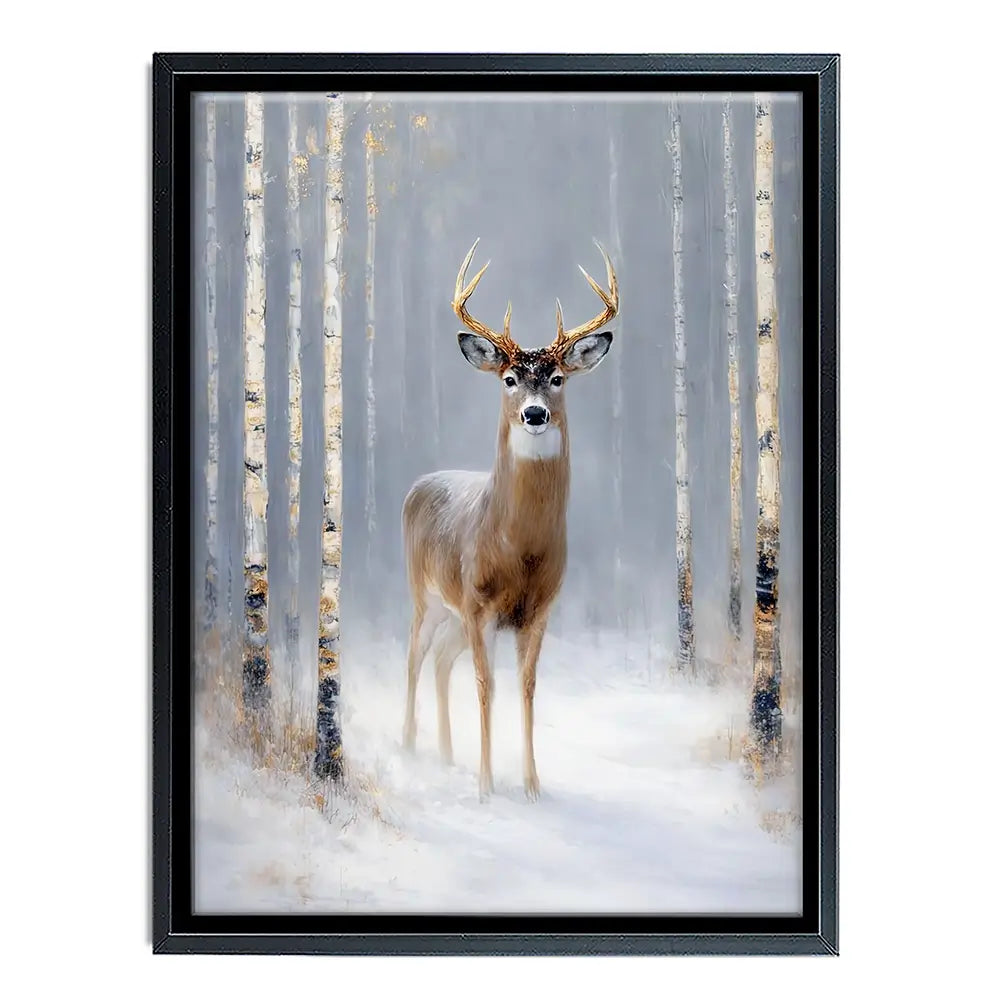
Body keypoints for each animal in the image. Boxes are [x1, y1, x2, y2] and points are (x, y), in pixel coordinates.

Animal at [401, 239, 619, 801]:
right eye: (509, 378)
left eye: (558, 378)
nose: (535, 414)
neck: (518, 549)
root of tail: (418, 484)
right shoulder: (479, 604)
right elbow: (486, 685)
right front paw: (485, 785)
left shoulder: (537, 610)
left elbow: (526, 686)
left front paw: (531, 785)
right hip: (427, 593)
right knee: (415, 655)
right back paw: (409, 744)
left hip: (454, 614)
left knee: (440, 660)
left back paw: (447, 754)